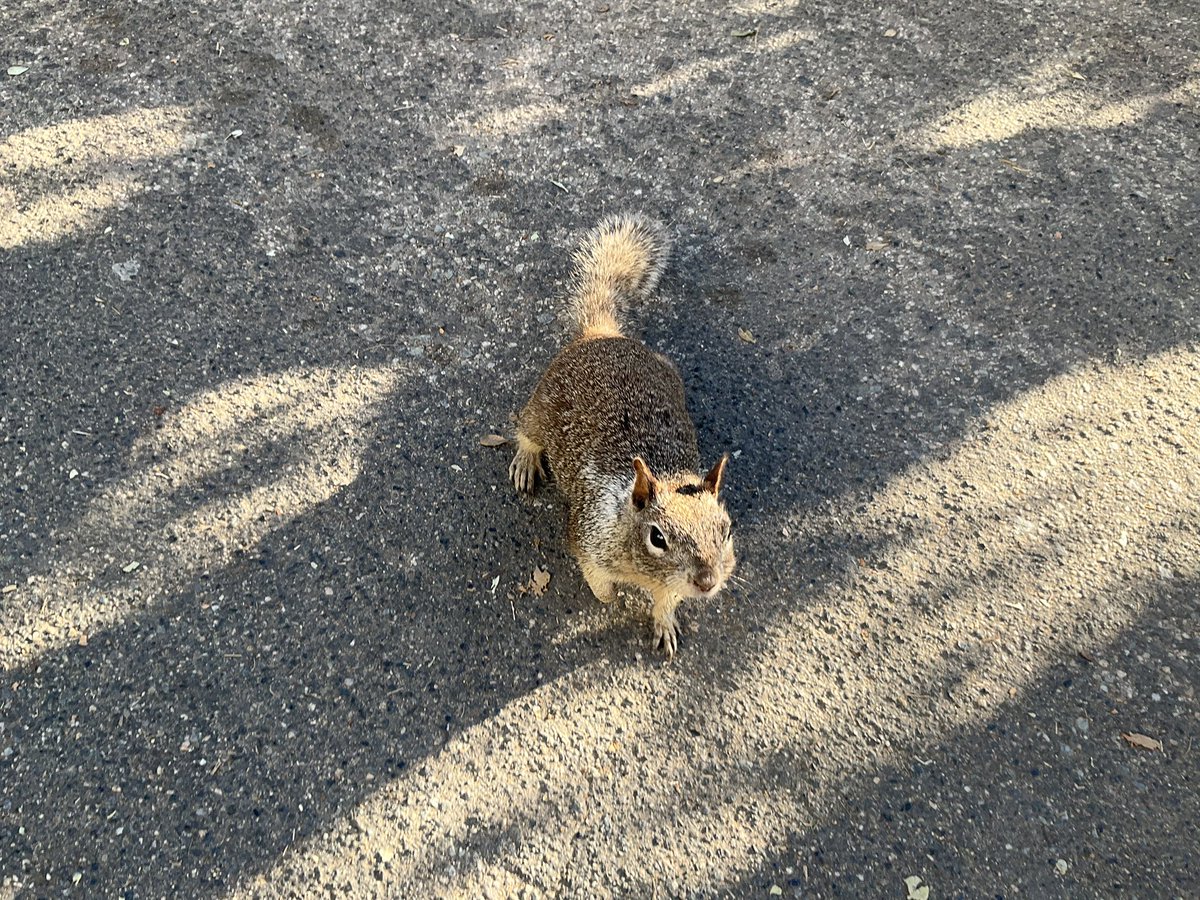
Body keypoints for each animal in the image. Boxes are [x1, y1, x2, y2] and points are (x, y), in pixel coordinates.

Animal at [509, 212, 736, 657]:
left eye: (726, 529)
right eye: (657, 537)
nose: (707, 582)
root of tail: (602, 334)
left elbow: (667, 601)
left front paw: (664, 622)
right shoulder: (589, 537)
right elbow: (597, 582)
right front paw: (611, 598)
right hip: (542, 402)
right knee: (526, 430)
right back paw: (525, 460)